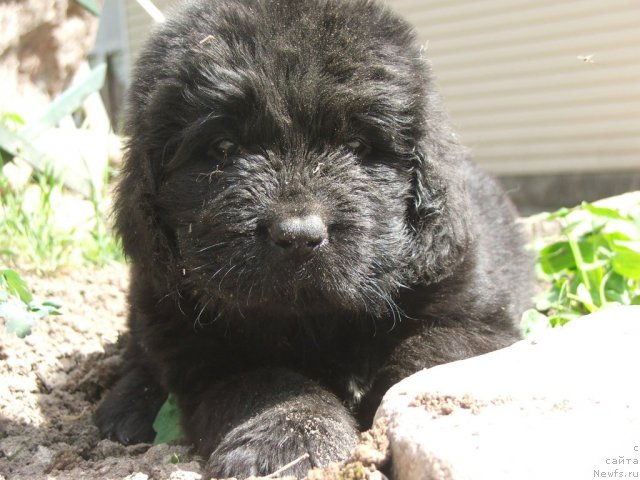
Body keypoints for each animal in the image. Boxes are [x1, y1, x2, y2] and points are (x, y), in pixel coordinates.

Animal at [95, 0, 532, 476]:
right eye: (224, 148)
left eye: (358, 146)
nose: (299, 236)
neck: (314, 316)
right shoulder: (202, 348)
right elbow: (268, 384)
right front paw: (289, 440)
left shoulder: (474, 313)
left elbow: (429, 354)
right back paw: (124, 408)